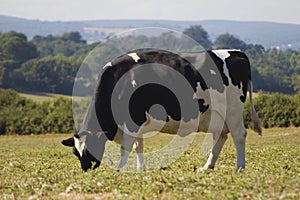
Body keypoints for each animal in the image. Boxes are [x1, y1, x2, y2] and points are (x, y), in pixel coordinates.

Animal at [62, 49, 262, 172]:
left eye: (90, 149)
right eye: (75, 153)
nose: (86, 170)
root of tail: (238, 53)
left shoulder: (132, 119)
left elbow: (126, 147)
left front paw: (119, 169)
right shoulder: (136, 122)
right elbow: (138, 146)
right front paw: (140, 169)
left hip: (233, 110)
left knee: (239, 135)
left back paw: (239, 166)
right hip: (216, 115)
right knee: (220, 136)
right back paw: (207, 167)